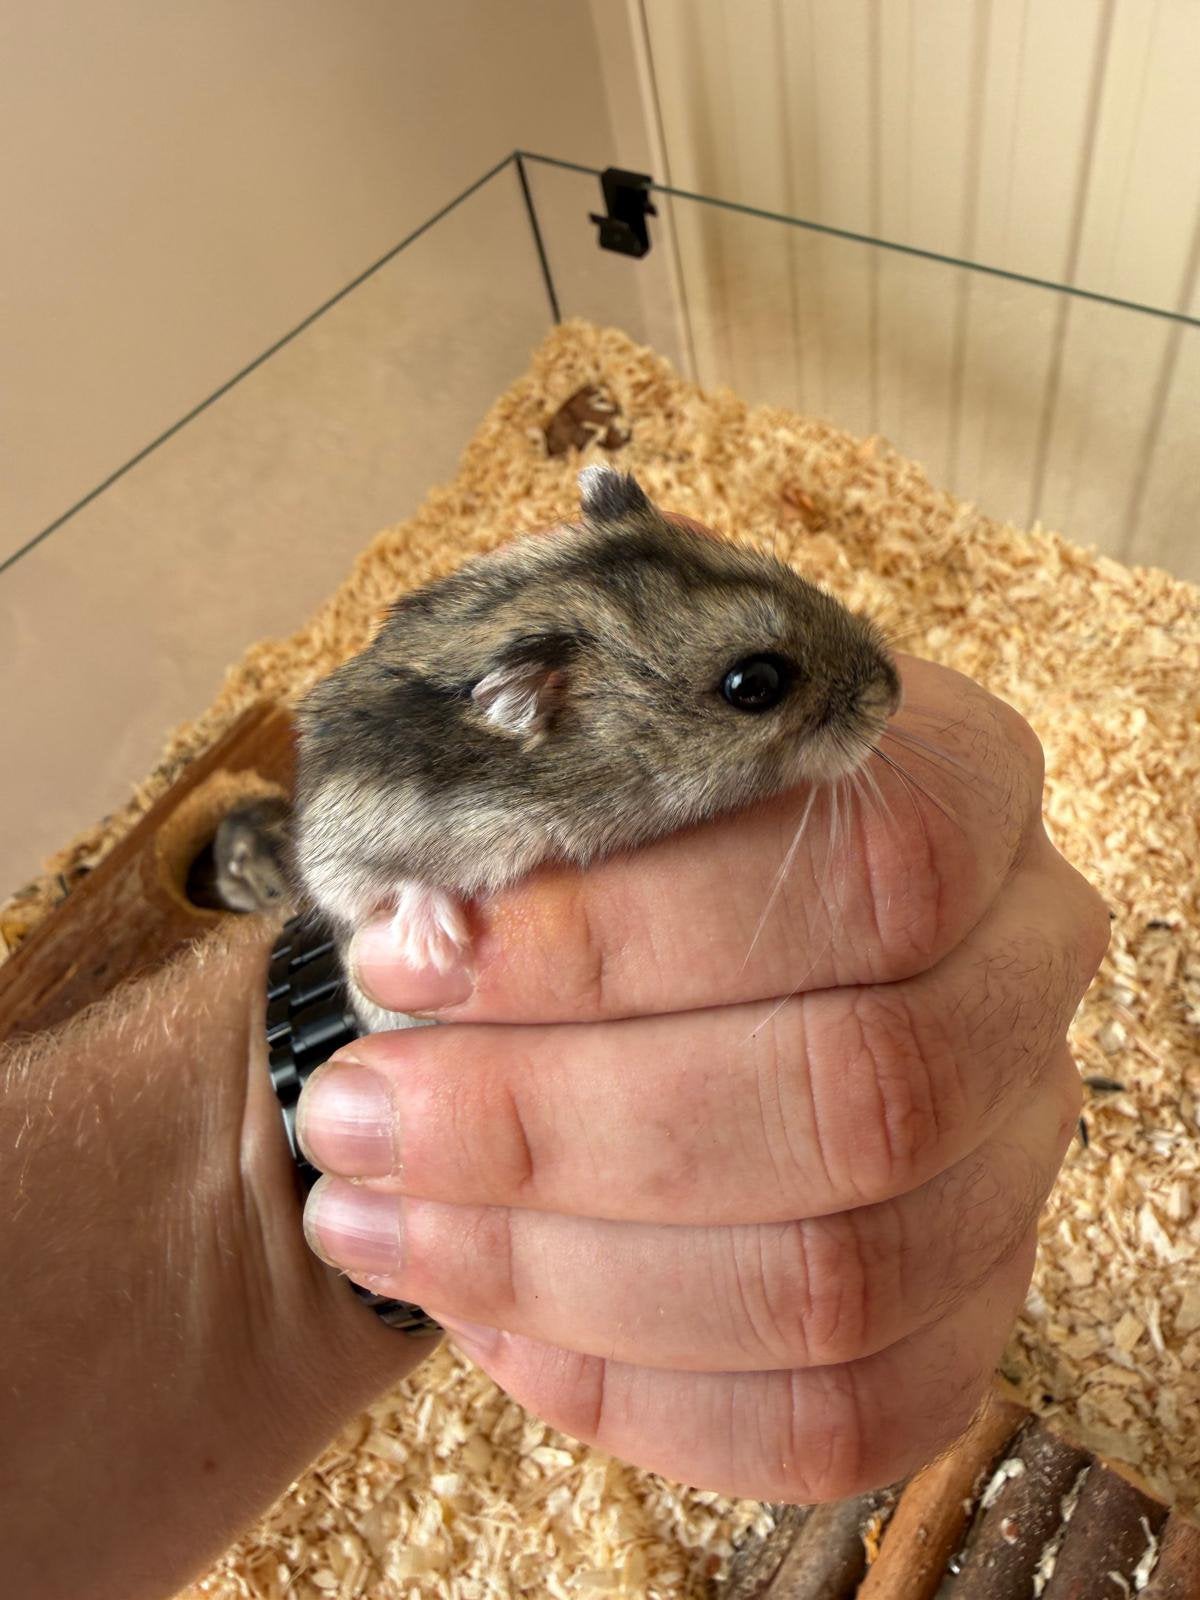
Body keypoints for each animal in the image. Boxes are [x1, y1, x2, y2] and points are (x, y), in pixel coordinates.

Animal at [291, 465, 900, 1032]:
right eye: (754, 684)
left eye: (789, 571)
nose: (892, 693)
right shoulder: (338, 833)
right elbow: (375, 887)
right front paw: (434, 950)